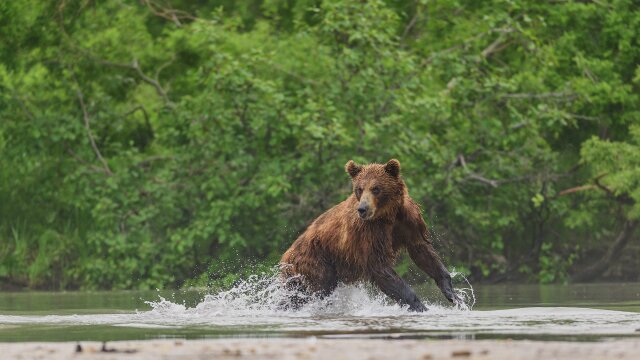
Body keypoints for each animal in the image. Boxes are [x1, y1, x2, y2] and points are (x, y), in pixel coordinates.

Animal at [280, 159, 460, 310]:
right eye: (359, 188)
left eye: (376, 188)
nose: (362, 209)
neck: (388, 214)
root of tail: (286, 256)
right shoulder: (369, 233)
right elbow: (380, 267)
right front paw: (420, 306)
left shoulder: (409, 221)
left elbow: (422, 251)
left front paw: (453, 295)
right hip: (317, 262)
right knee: (313, 291)